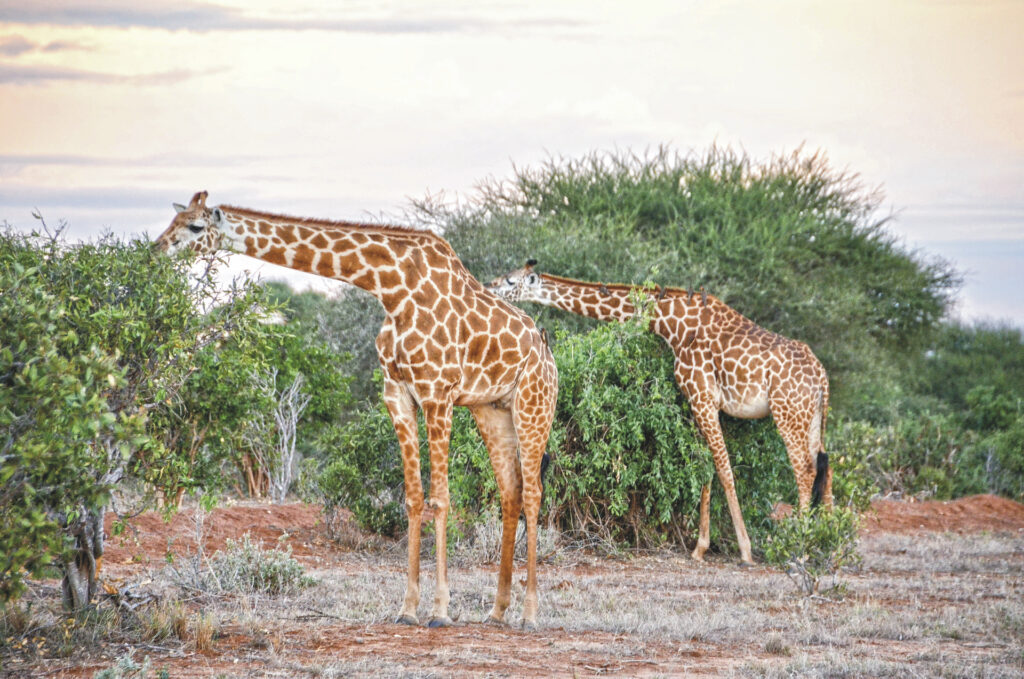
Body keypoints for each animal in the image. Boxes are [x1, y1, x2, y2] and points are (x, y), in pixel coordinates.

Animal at [157, 191, 561, 626]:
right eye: (173, 221)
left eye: (195, 226)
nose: (156, 249)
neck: (392, 287)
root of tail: (548, 353)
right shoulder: (397, 393)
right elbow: (413, 498)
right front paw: (407, 608)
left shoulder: (437, 392)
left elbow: (441, 499)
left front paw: (439, 610)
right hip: (491, 409)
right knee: (511, 493)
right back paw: (498, 611)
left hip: (534, 404)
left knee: (533, 492)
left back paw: (530, 614)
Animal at [487, 259, 831, 561]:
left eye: (510, 280)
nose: (489, 286)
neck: (670, 321)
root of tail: (822, 378)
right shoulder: (697, 400)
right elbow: (707, 468)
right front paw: (700, 548)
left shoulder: (702, 395)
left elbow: (724, 469)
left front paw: (745, 551)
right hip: (813, 418)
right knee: (824, 467)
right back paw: (828, 544)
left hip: (787, 413)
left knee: (806, 472)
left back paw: (799, 550)